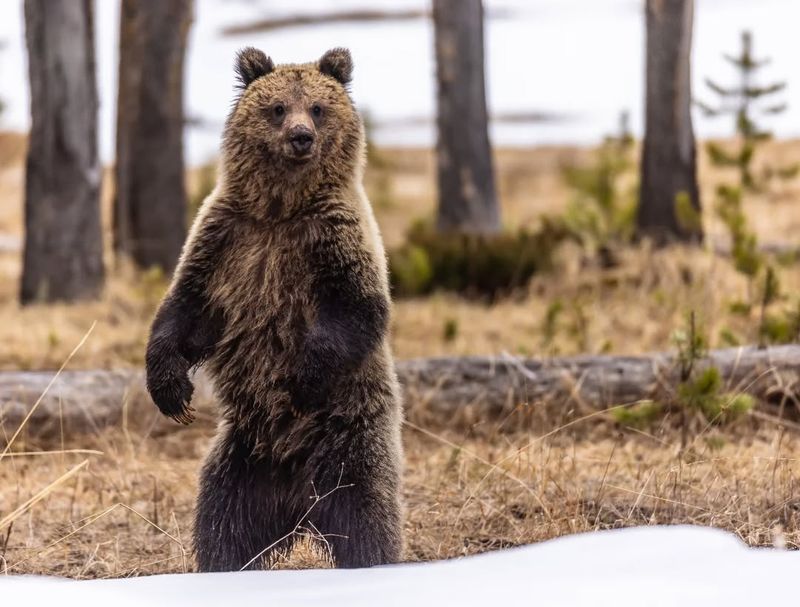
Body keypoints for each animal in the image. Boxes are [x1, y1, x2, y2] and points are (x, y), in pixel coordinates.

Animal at [144, 48, 404, 576]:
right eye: (278, 107)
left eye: (318, 108)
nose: (301, 136)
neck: (280, 209)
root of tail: (298, 508)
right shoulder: (227, 239)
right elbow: (185, 311)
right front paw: (170, 390)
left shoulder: (334, 240)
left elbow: (357, 313)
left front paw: (299, 379)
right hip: (243, 461)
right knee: (223, 523)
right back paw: (222, 565)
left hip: (348, 441)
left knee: (366, 516)